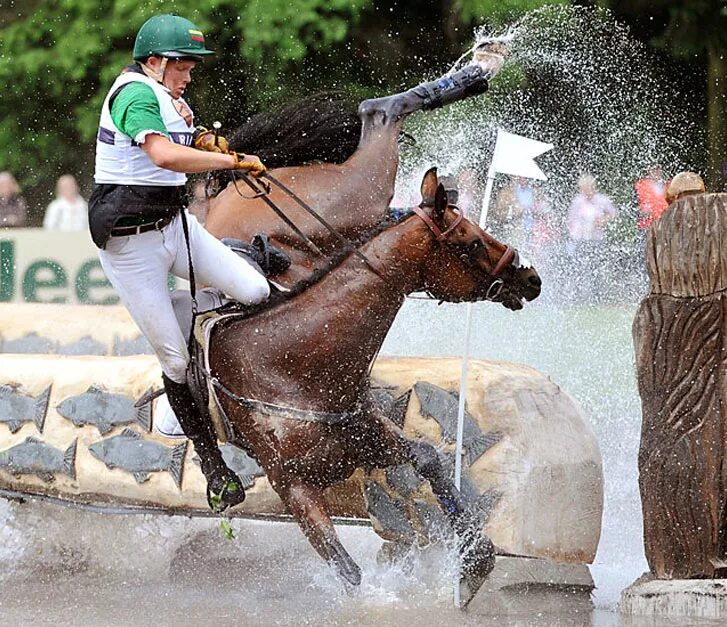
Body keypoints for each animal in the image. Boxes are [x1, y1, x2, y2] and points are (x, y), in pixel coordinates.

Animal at [206, 169, 540, 604]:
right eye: (472, 241)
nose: (531, 277)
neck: (293, 368)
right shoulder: (293, 486)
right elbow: (347, 570)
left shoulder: (369, 438)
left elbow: (428, 458)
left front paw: (475, 559)